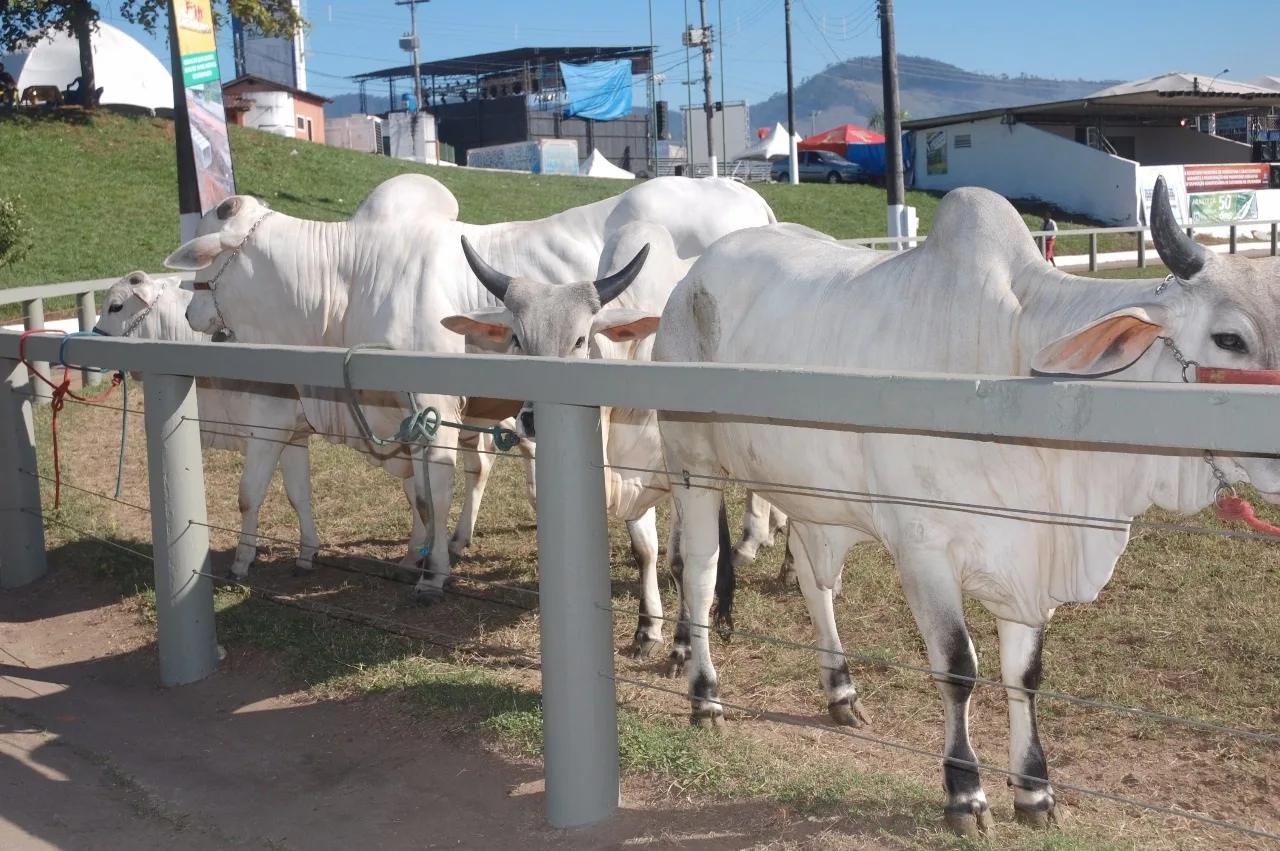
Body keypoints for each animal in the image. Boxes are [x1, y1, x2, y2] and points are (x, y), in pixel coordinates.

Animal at [165, 172, 773, 604]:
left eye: (203, 257)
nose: (192, 312)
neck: (351, 275)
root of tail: (748, 199)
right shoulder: (405, 415)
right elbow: (419, 497)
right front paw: (415, 556)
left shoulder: (433, 408)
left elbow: (437, 489)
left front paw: (433, 576)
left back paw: (745, 543)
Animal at [655, 175, 1280, 834]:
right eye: (1230, 339)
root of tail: (693, 278)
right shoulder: (924, 551)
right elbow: (958, 668)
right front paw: (966, 792)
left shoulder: (1028, 554)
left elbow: (1024, 675)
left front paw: (1035, 791)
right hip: (692, 466)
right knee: (699, 573)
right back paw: (705, 696)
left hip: (809, 491)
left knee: (811, 577)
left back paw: (841, 691)